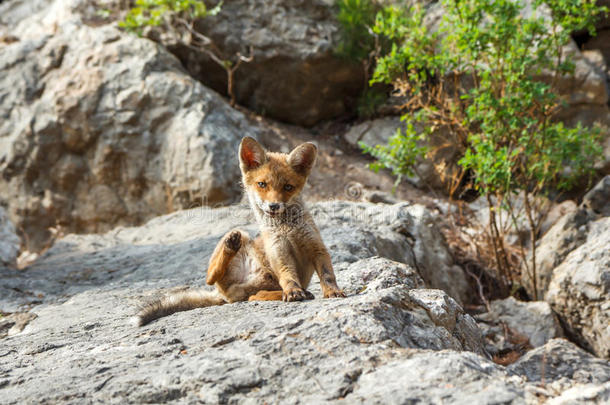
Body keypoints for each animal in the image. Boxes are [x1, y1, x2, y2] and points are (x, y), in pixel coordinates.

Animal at [136, 136, 344, 326]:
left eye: (288, 187)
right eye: (262, 184)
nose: (274, 205)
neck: (288, 230)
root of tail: (224, 294)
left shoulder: (316, 246)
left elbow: (327, 274)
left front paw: (332, 291)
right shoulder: (278, 250)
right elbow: (288, 276)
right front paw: (293, 291)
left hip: (255, 286)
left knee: (252, 296)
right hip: (241, 236)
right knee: (211, 278)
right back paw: (231, 246)